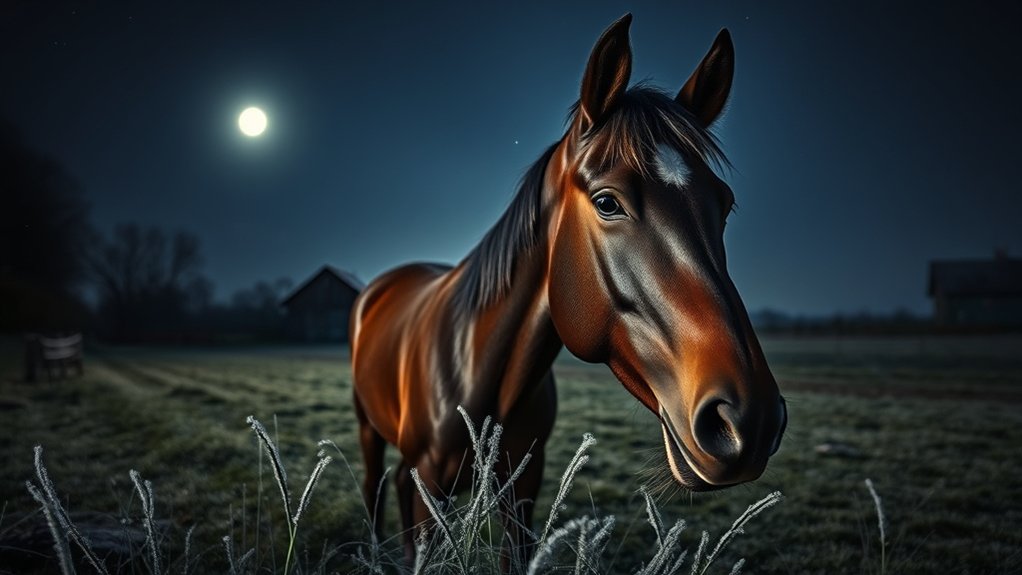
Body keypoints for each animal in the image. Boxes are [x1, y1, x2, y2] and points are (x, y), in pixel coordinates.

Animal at [350, 13, 787, 566]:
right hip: (369, 430)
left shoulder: (522, 488)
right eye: (607, 202)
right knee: (374, 487)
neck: (481, 372)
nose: (749, 422)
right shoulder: (433, 484)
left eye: (724, 205)